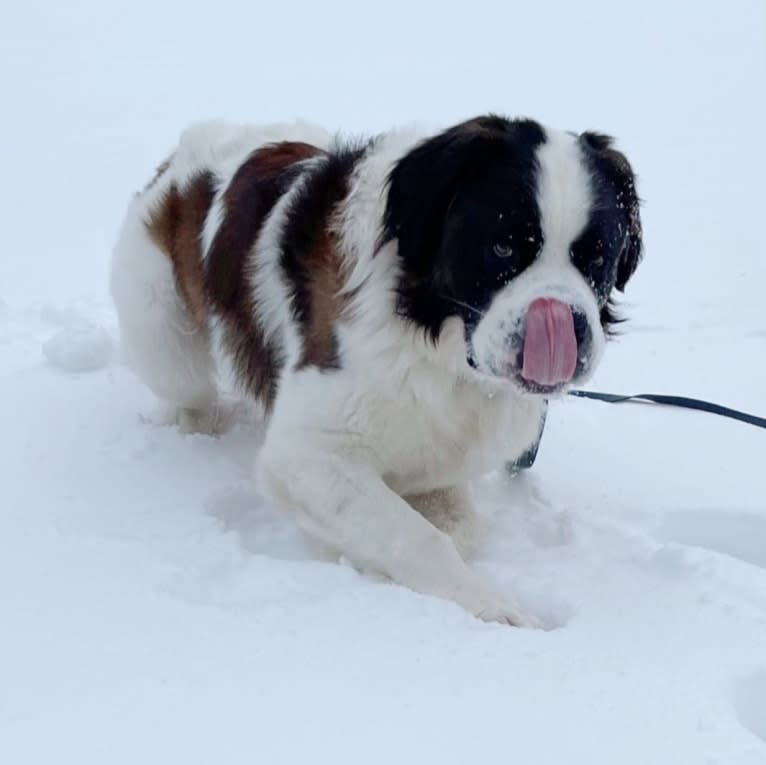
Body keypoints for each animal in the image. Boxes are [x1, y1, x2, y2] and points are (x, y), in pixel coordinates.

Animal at [111, 115, 644, 628]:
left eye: (597, 256)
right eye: (503, 249)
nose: (567, 322)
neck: (433, 339)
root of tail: (194, 143)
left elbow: (457, 527)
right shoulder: (306, 456)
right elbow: (417, 537)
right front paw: (493, 608)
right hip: (162, 335)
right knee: (187, 391)